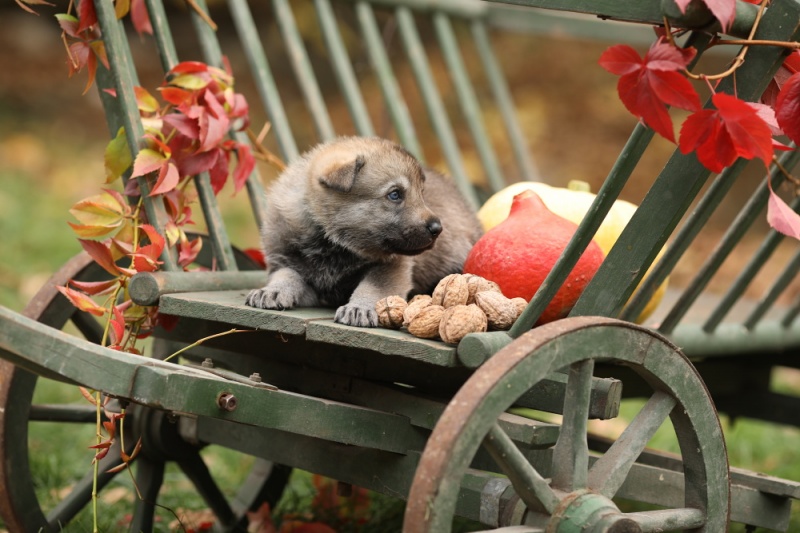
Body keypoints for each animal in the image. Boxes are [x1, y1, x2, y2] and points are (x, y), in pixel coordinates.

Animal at [244, 135, 482, 326]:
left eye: (422, 193)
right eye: (395, 194)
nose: (437, 228)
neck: (332, 243)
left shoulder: (392, 267)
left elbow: (373, 286)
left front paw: (360, 308)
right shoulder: (285, 261)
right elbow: (287, 274)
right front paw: (272, 291)